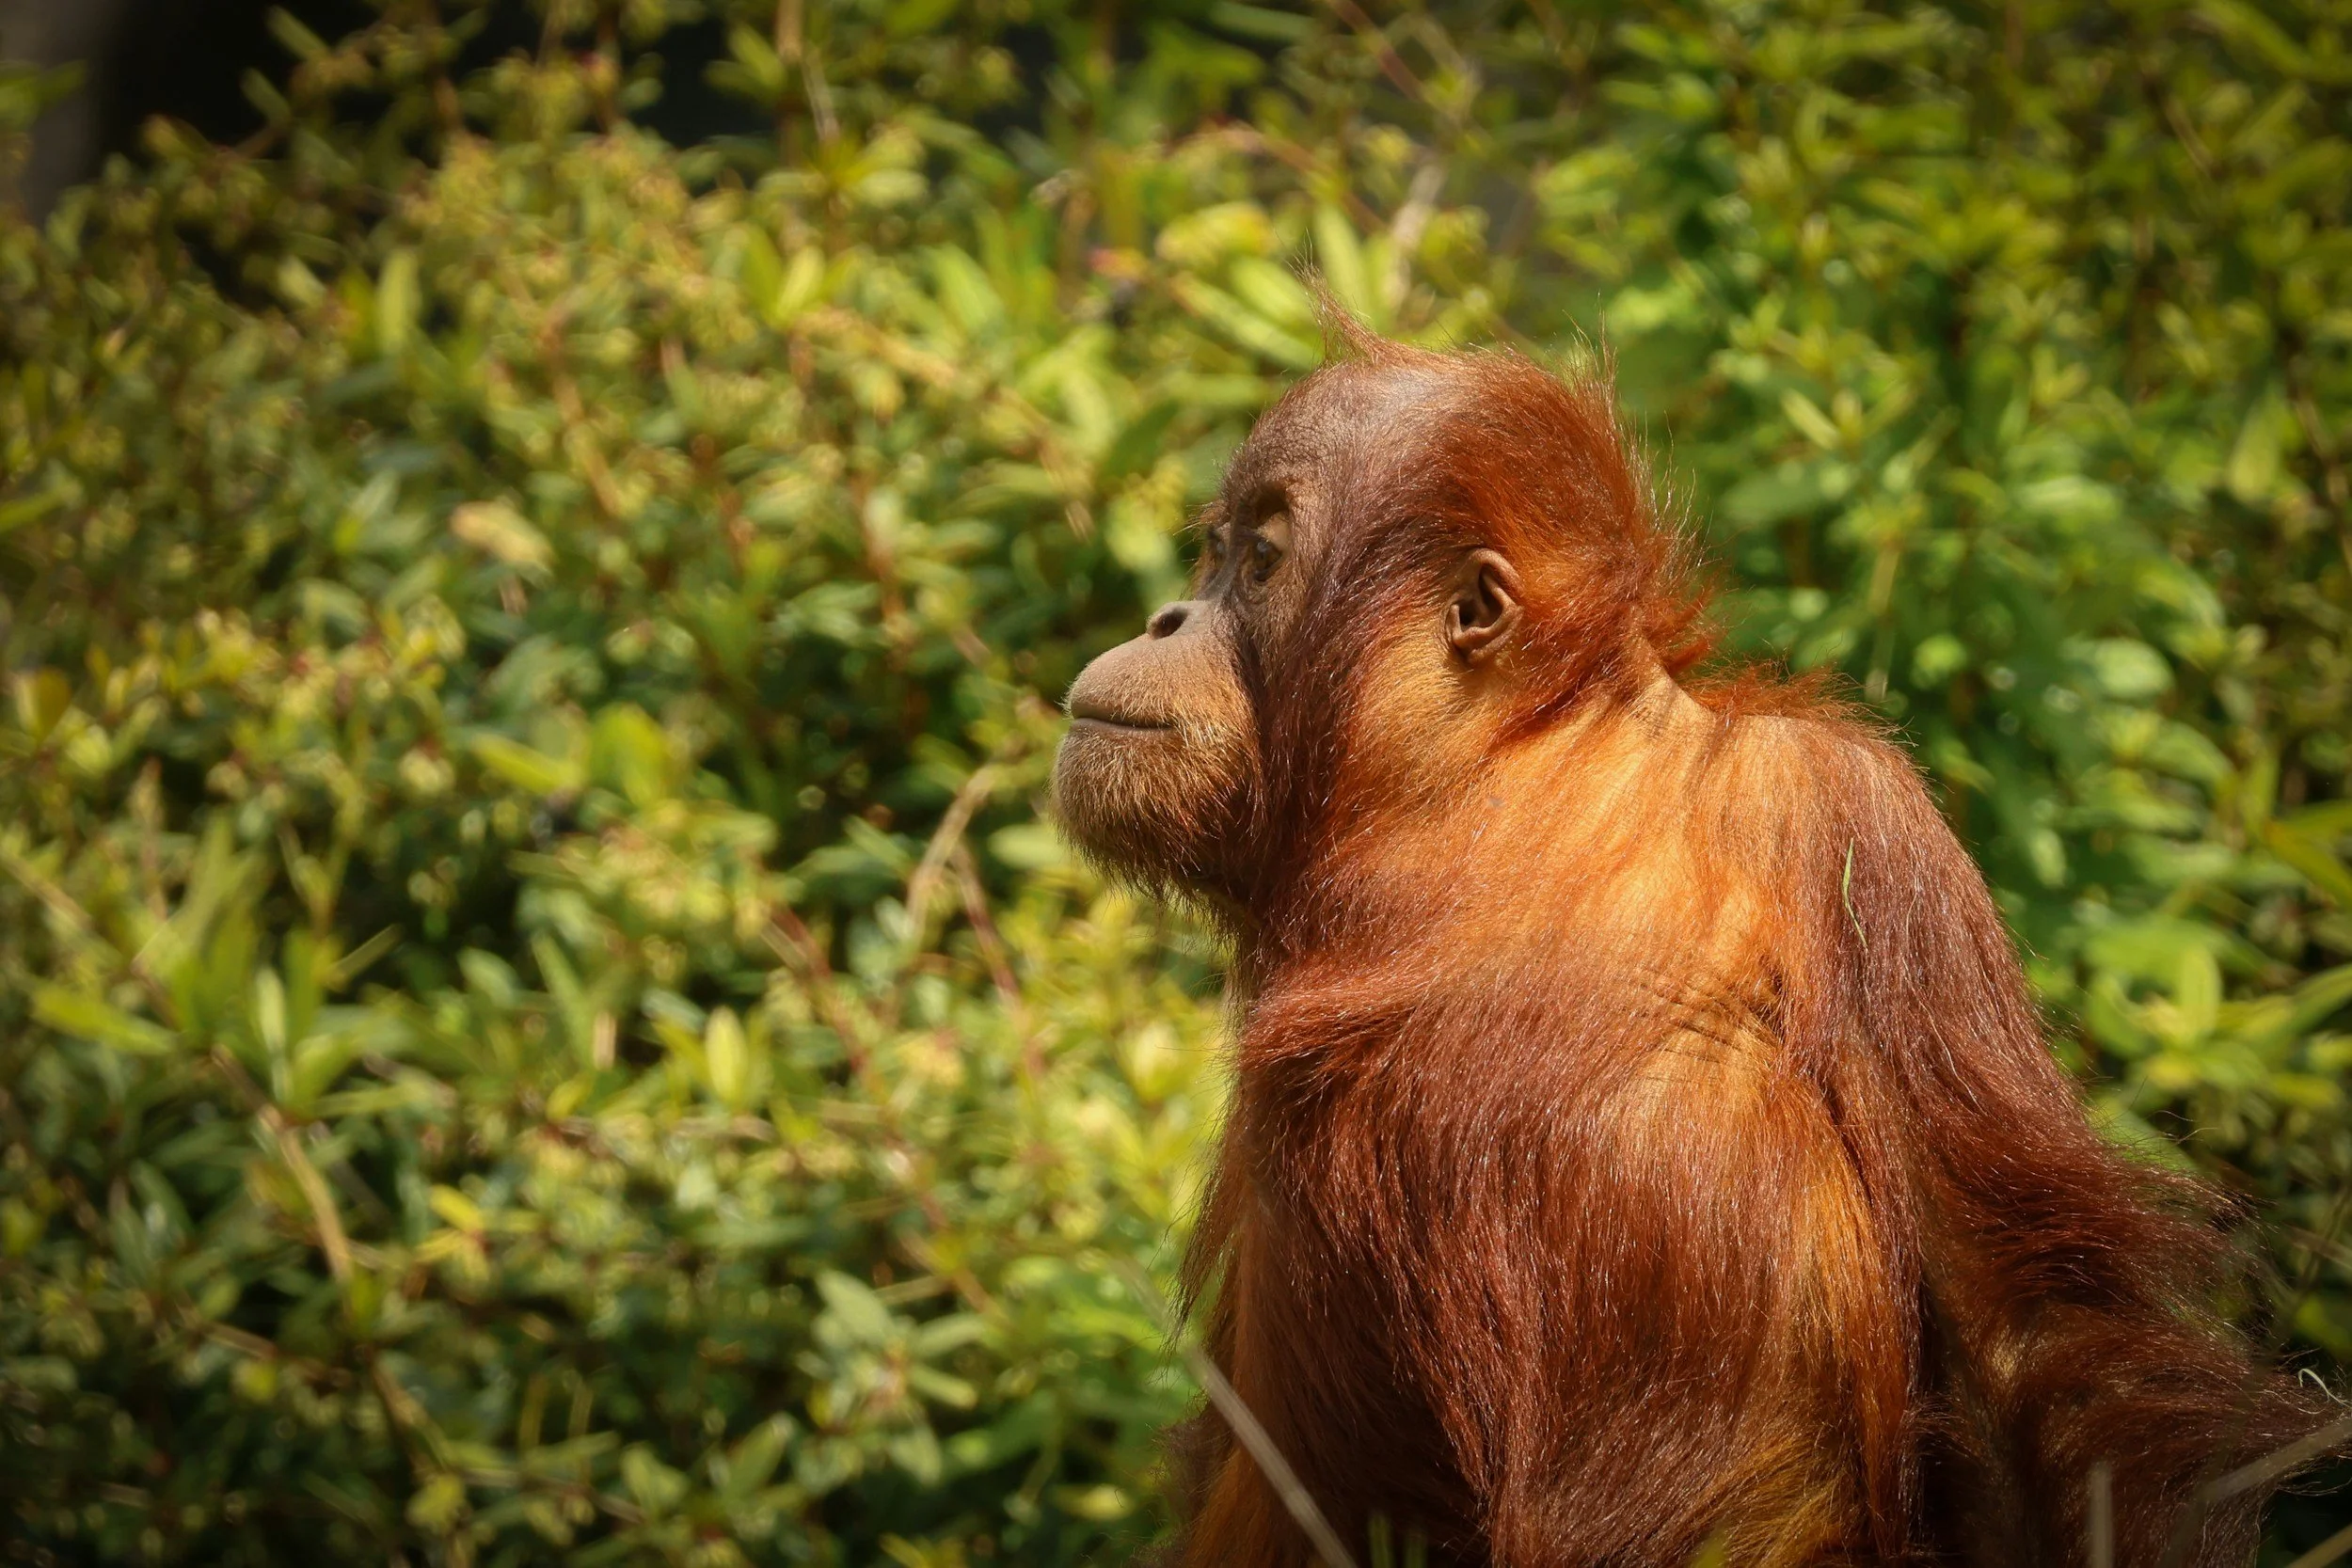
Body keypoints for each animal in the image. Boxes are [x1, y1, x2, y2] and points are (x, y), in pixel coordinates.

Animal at [1051, 324, 2330, 1567]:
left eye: (1259, 562)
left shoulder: (1849, 816)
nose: (1165, 617)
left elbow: (2022, 1320)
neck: (1492, 784)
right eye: (1212, 554)